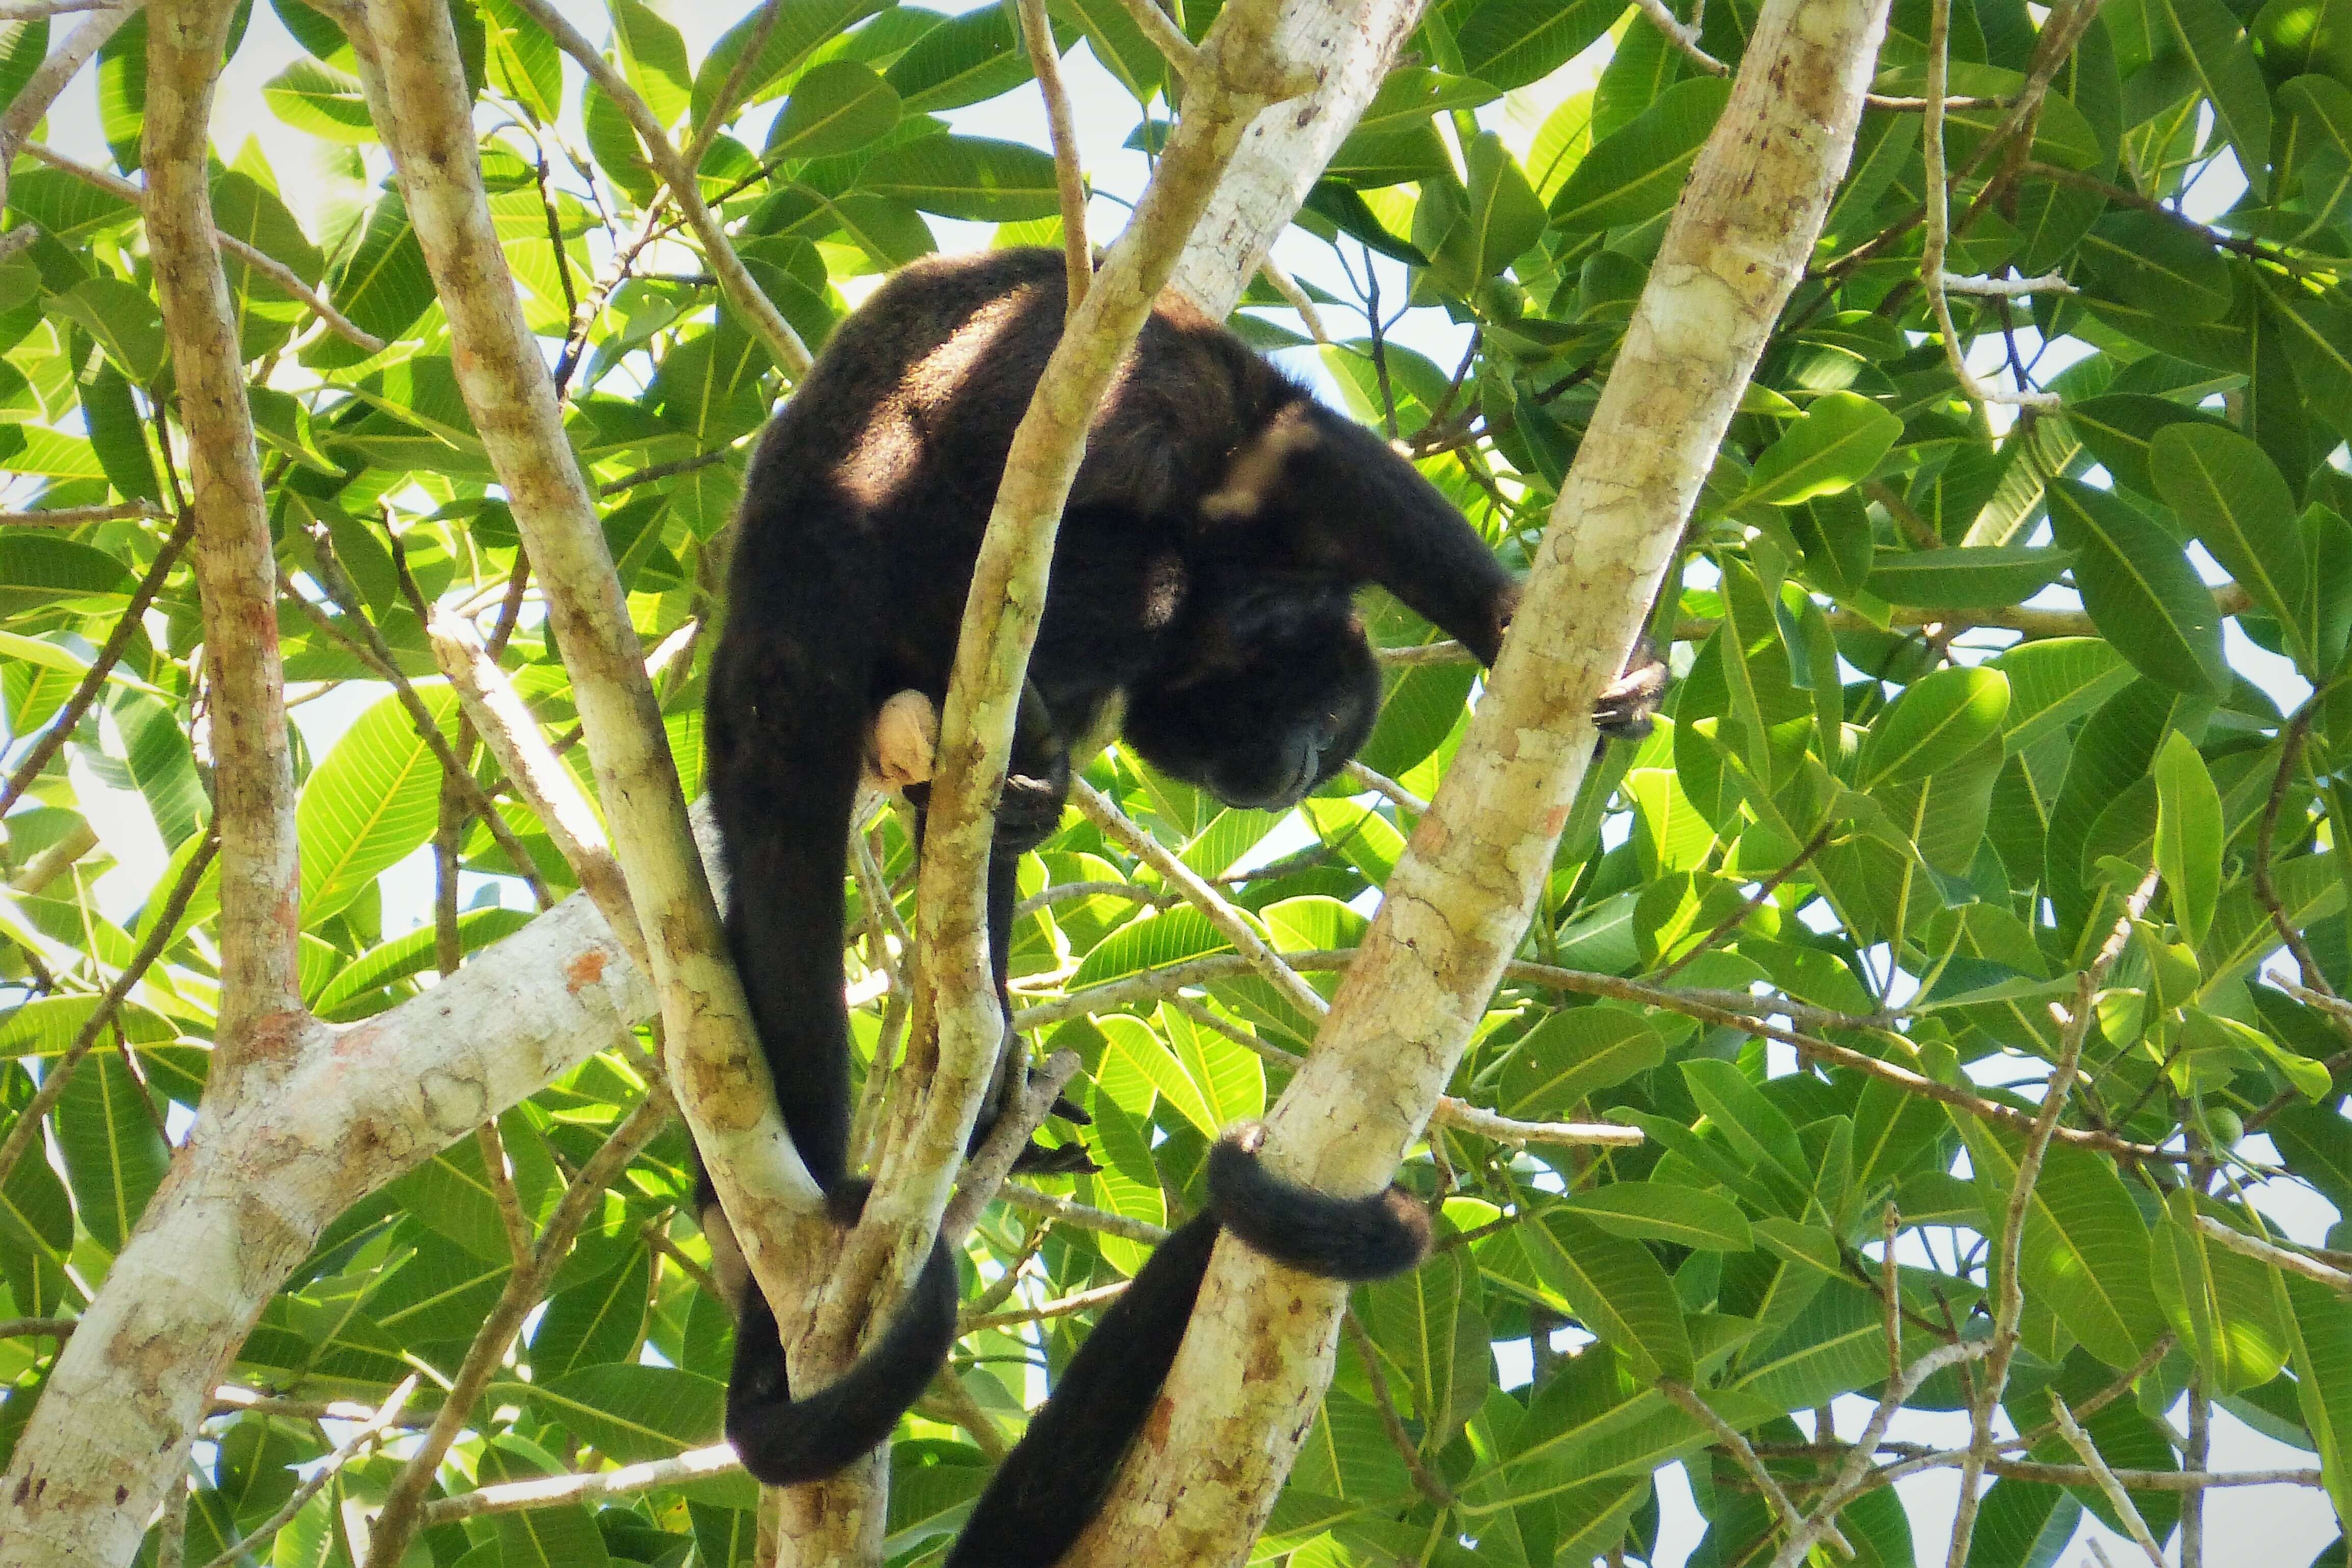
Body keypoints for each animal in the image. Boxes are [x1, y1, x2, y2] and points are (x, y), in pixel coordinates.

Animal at [701, 248, 1674, 1495]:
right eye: (1302, 724)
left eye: (1279, 758)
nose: (1284, 774)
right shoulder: (1224, 441)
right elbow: (1307, 455)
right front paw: (1508, 620)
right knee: (1103, 577)